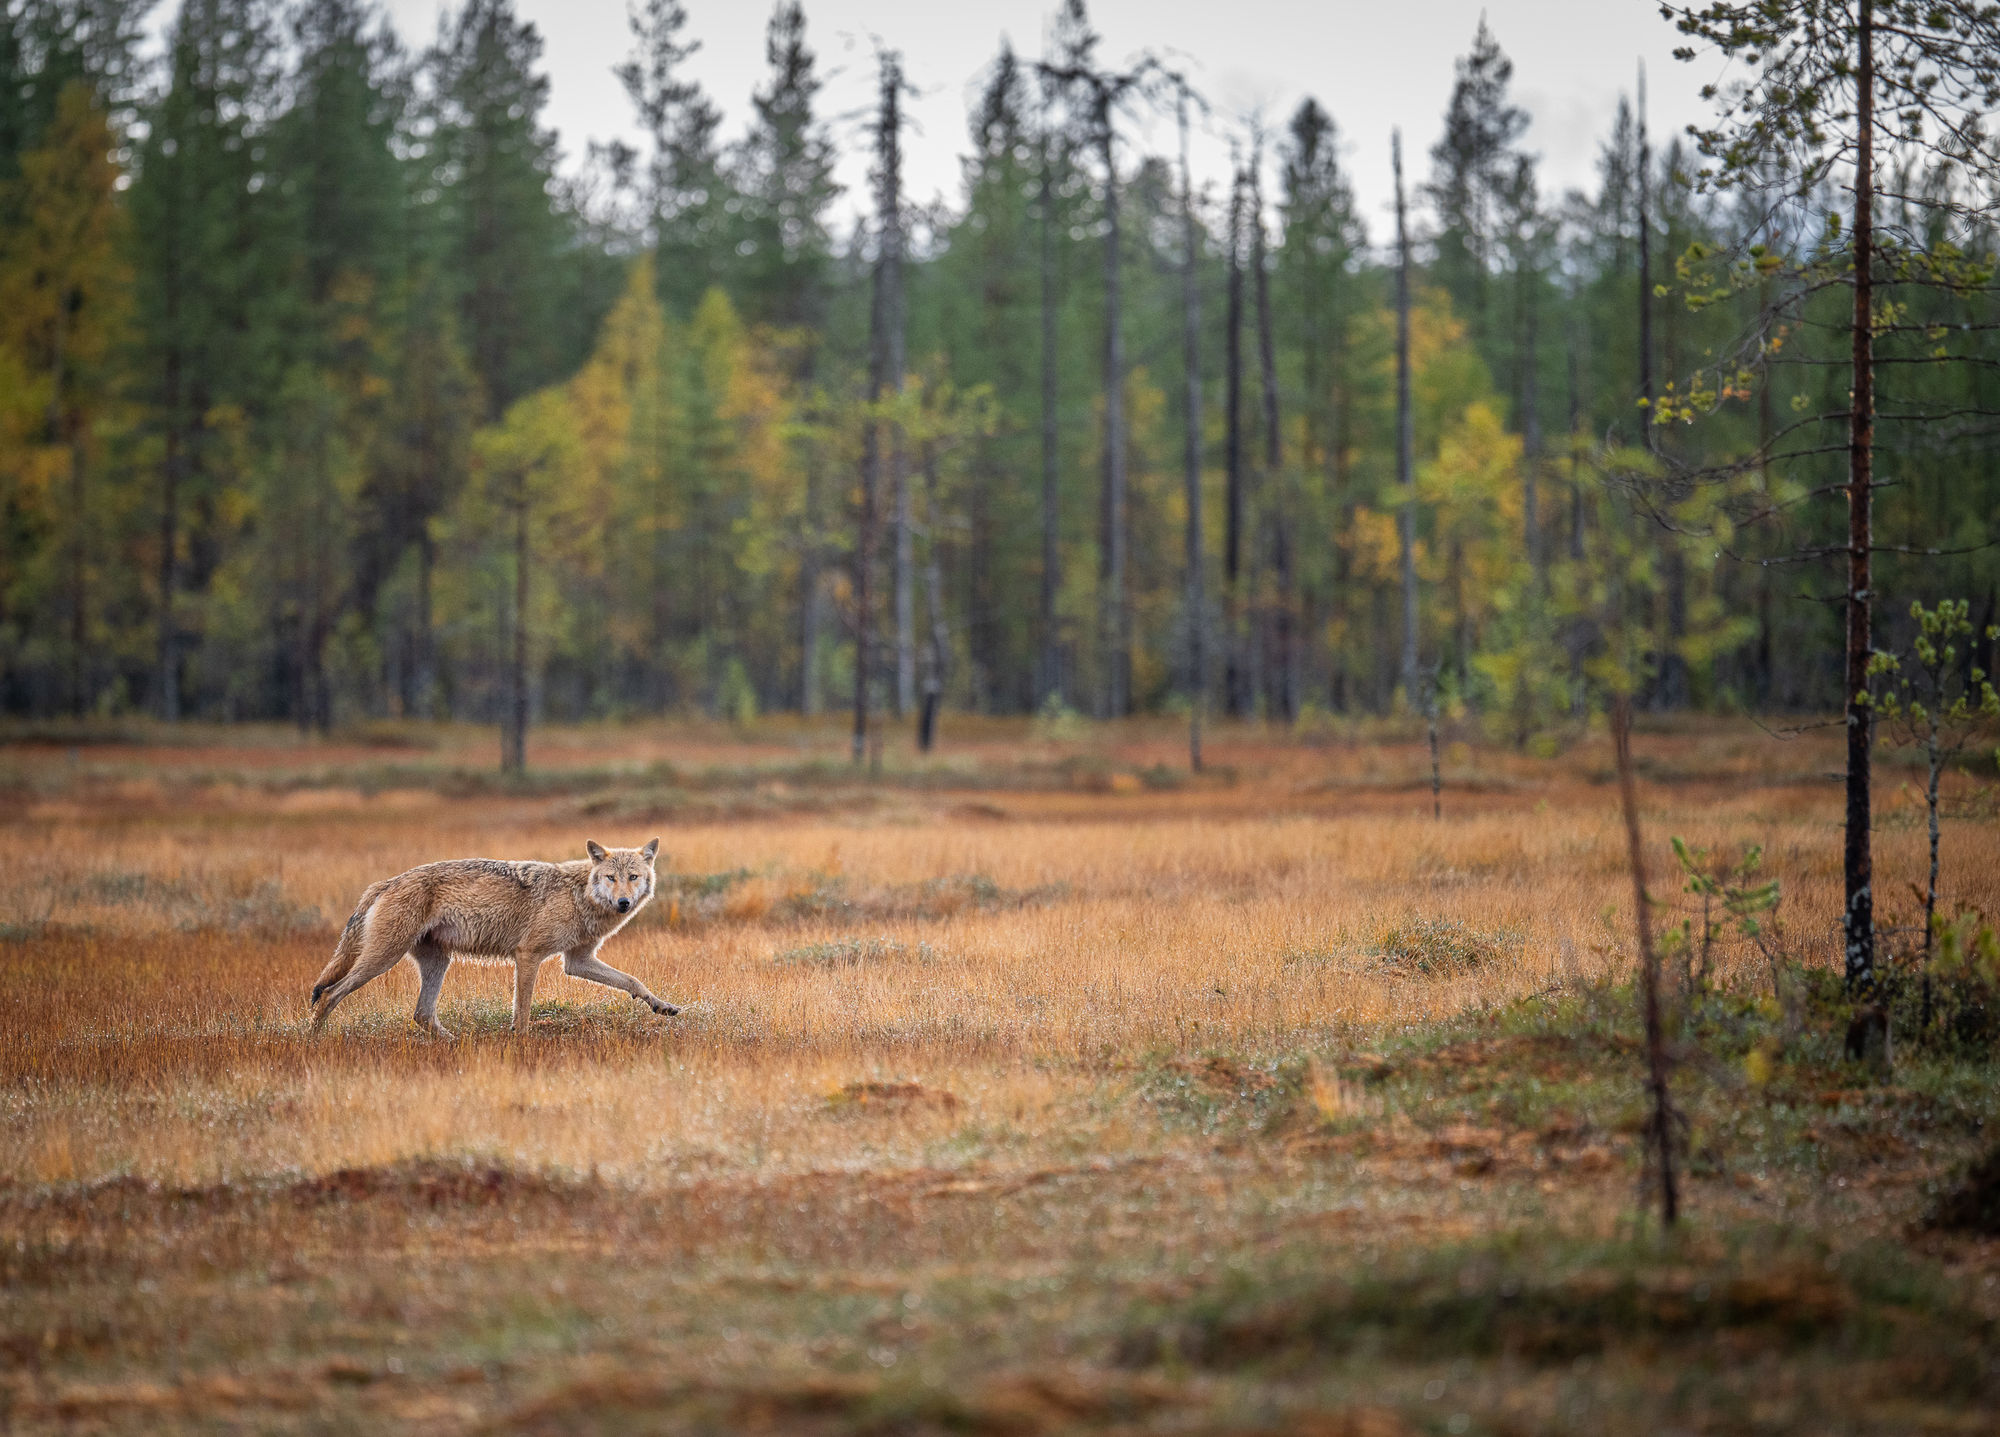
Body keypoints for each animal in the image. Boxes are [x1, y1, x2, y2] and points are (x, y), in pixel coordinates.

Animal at [309, 839, 678, 1038]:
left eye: (633, 877)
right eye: (611, 878)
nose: (624, 903)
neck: (580, 895)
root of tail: (385, 882)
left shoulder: (578, 961)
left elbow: (632, 981)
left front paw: (661, 1005)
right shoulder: (528, 954)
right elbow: (523, 1010)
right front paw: (521, 1043)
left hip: (437, 962)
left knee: (422, 1015)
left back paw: (456, 1043)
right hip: (383, 958)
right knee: (328, 994)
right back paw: (312, 1041)